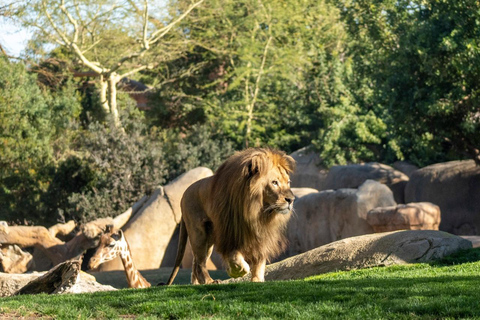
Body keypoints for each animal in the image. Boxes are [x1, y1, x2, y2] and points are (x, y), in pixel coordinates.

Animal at [169, 146, 296, 284]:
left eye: (288, 182)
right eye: (274, 182)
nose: (291, 199)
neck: (256, 212)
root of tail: (183, 195)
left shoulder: (261, 235)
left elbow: (259, 259)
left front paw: (257, 280)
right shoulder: (229, 232)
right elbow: (235, 256)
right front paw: (237, 271)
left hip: (208, 240)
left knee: (195, 263)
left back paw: (198, 283)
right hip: (199, 234)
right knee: (199, 262)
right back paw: (209, 281)